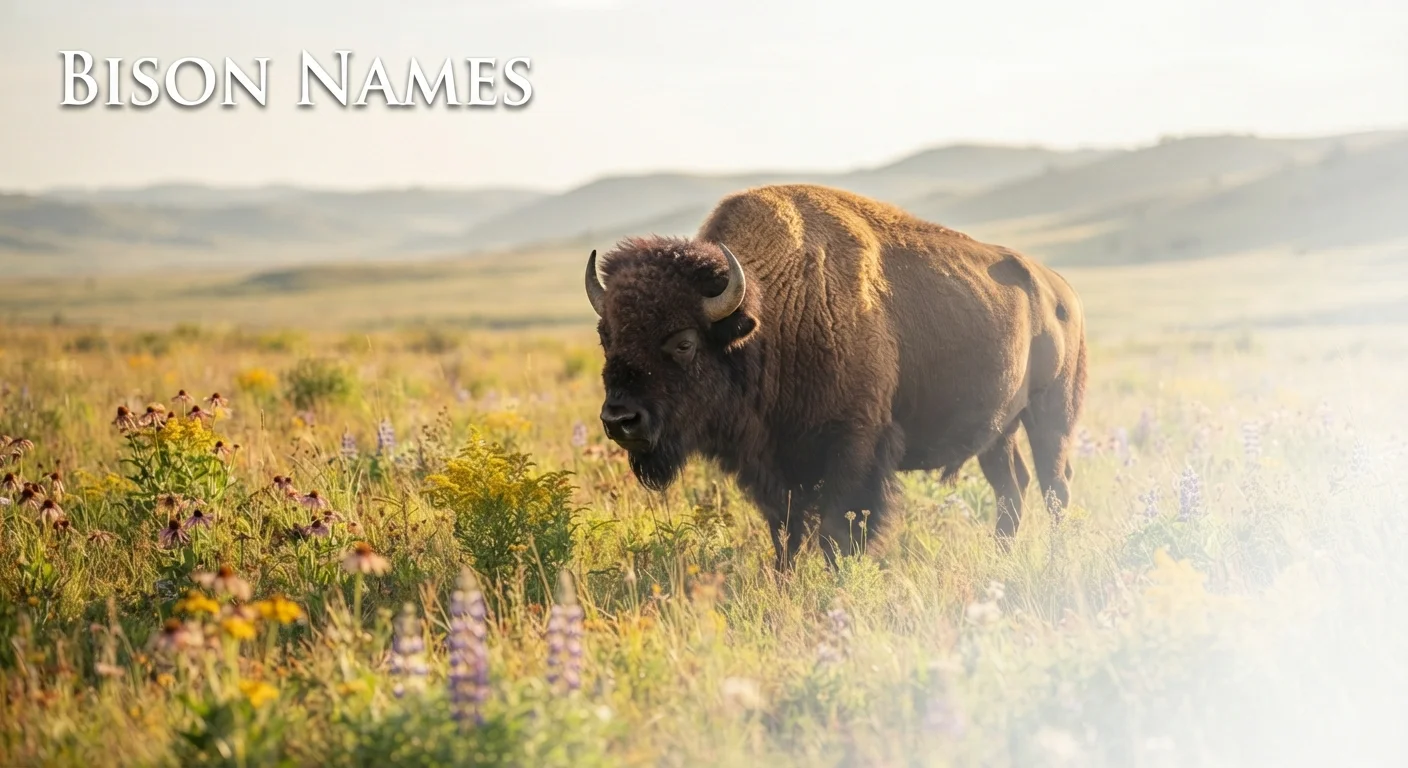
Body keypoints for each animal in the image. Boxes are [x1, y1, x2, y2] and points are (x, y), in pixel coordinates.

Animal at [585, 184, 1087, 566]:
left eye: (684, 342)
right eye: (606, 335)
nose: (619, 419)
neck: (773, 314)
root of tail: (1062, 290)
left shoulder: (854, 448)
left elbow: (838, 531)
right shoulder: (774, 465)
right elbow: (786, 533)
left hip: (1053, 417)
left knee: (1055, 488)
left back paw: (1056, 557)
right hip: (999, 432)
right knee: (1013, 490)